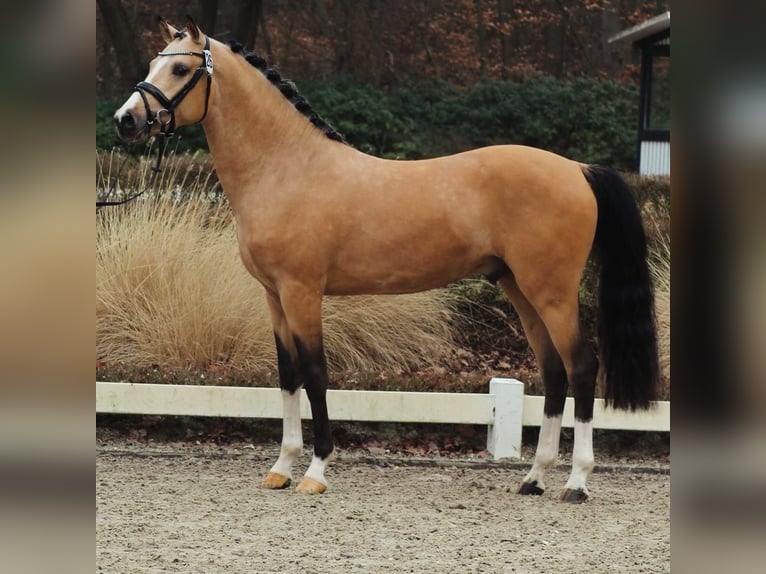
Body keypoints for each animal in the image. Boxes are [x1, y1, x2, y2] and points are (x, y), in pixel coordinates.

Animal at [114, 16, 660, 504]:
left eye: (181, 68)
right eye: (153, 64)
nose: (126, 120)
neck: (288, 169)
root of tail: (578, 169)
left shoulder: (302, 292)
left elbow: (316, 375)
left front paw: (315, 471)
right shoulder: (273, 296)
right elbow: (288, 377)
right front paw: (281, 468)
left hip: (553, 293)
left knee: (582, 369)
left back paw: (577, 482)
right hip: (521, 290)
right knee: (553, 373)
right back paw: (535, 478)